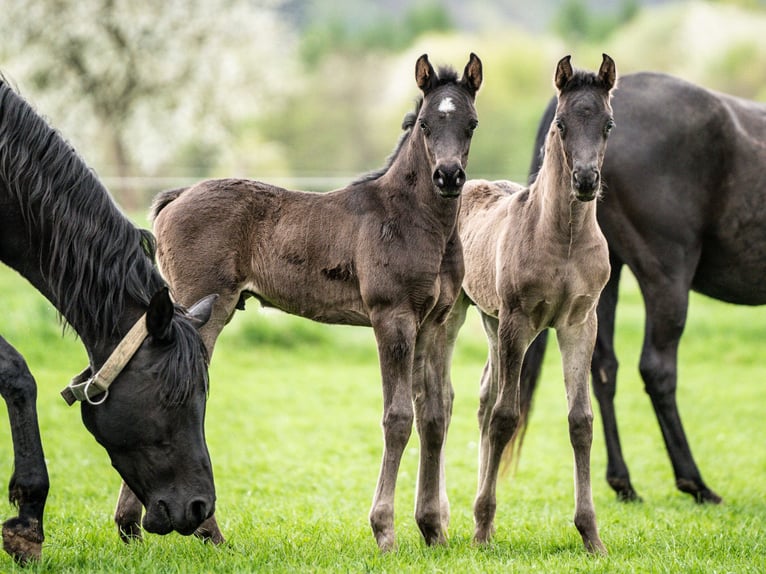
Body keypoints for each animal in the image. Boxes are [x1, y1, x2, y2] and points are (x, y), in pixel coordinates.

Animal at [112, 53, 483, 551]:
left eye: (471, 123)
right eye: (425, 123)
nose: (448, 176)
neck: (418, 220)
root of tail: (176, 197)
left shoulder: (434, 324)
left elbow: (434, 416)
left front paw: (433, 531)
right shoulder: (393, 317)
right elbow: (398, 416)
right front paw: (384, 531)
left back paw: (131, 524)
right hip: (203, 309)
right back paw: (205, 530)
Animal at [444, 54, 616, 553]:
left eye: (608, 124)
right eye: (560, 123)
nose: (585, 180)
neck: (563, 237)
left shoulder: (580, 323)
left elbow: (581, 421)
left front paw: (591, 535)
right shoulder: (518, 321)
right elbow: (507, 416)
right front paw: (483, 530)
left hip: (490, 318)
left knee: (484, 396)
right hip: (465, 314)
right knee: (477, 403)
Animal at [522, 71, 766, 506]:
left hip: (605, 277)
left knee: (601, 368)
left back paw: (623, 482)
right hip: (666, 276)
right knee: (657, 370)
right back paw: (695, 482)